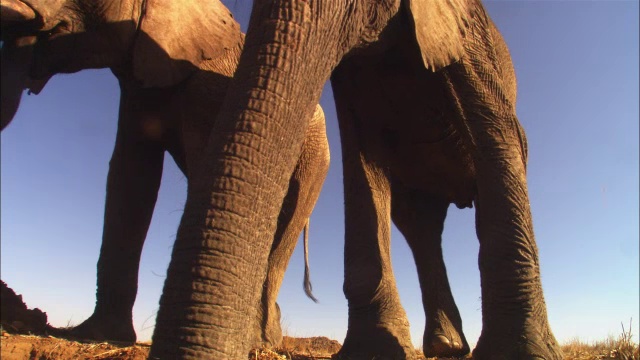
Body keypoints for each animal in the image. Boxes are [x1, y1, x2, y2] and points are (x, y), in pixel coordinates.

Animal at [0, 0, 330, 348]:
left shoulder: (208, 90)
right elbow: (130, 177)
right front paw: (95, 335)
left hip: (316, 161)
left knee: (286, 229)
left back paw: (262, 340)